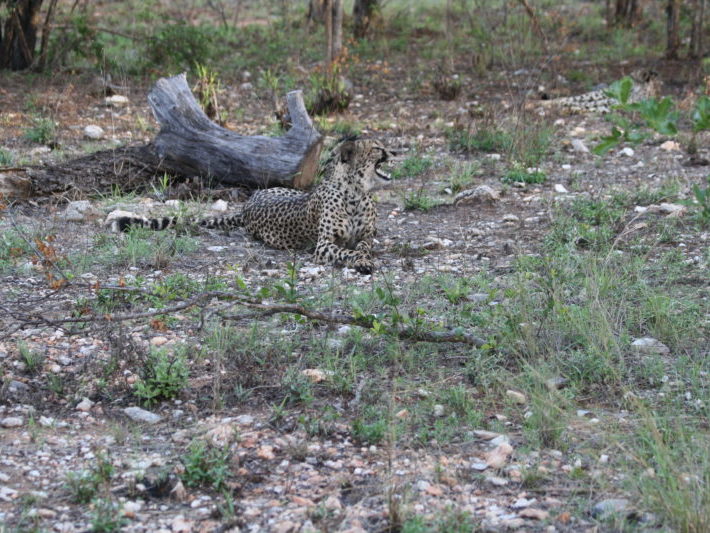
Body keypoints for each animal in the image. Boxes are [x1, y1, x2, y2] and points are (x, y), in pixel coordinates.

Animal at [109, 138, 395, 275]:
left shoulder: (366, 235)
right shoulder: (323, 245)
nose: (394, 153)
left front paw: (365, 257)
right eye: (376, 149)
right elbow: (347, 252)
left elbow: (363, 246)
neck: (356, 192)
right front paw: (362, 262)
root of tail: (249, 203)